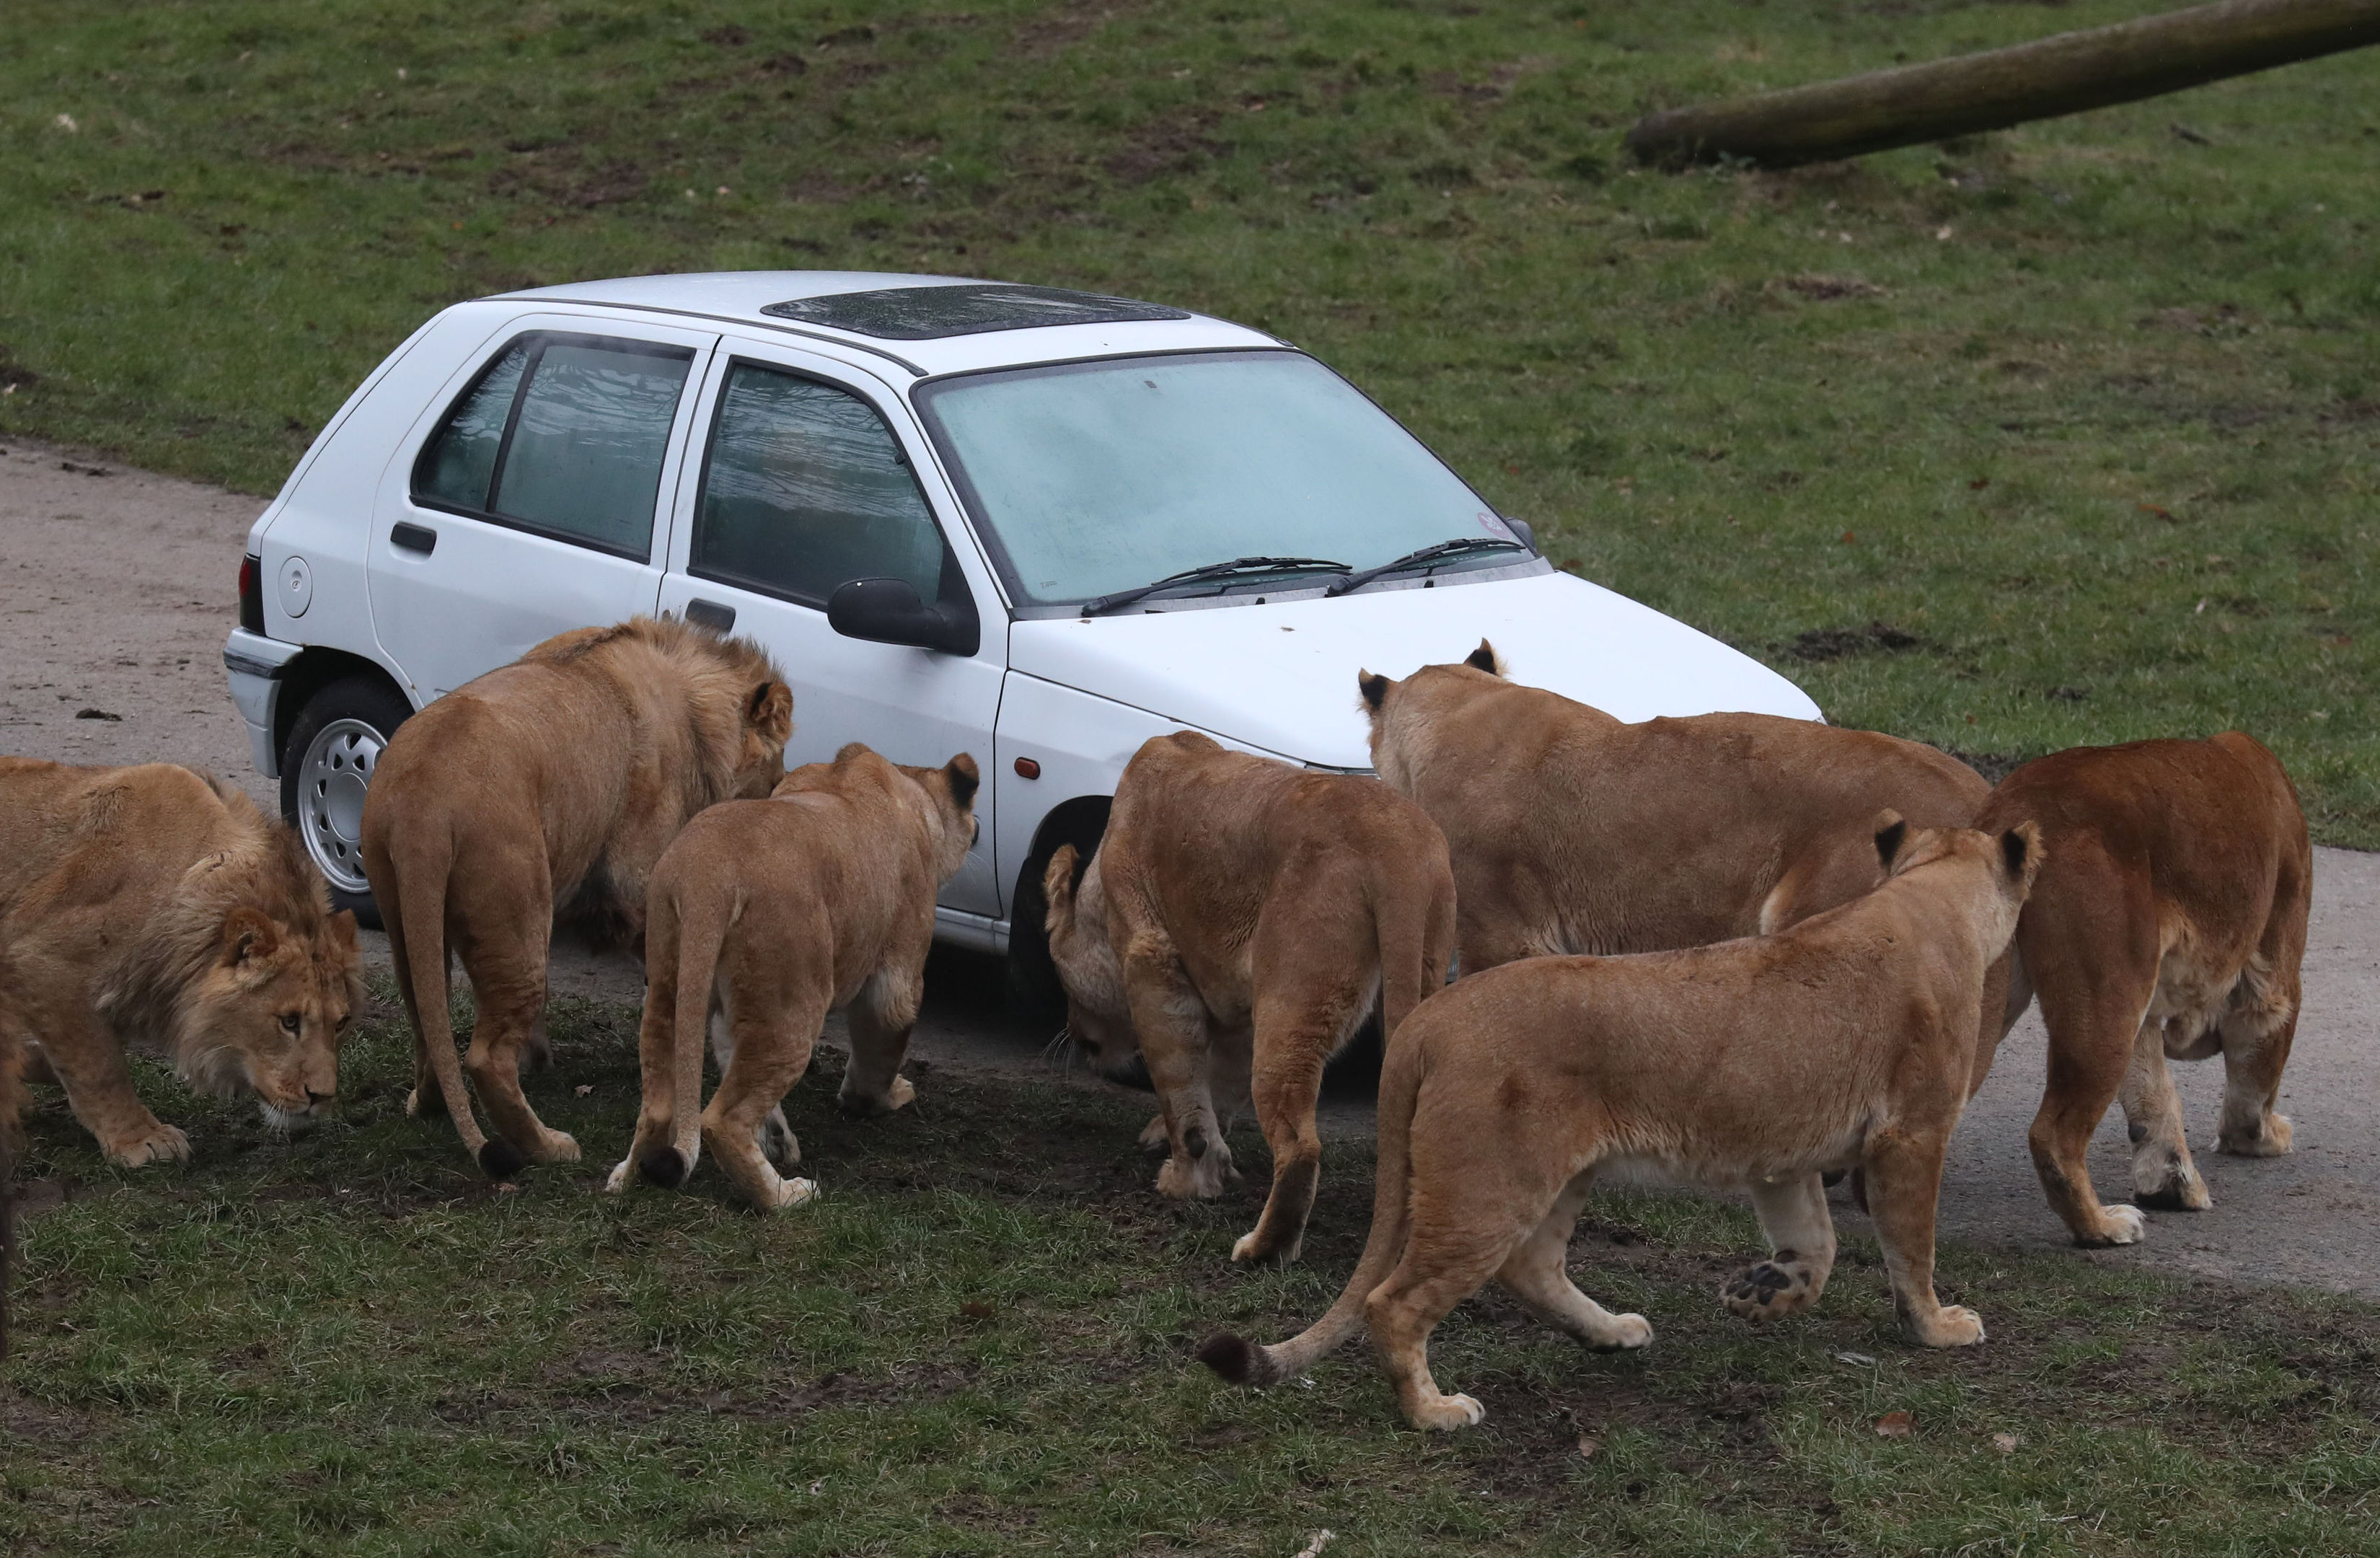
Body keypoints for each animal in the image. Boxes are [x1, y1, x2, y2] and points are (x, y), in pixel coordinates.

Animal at [0, 756, 361, 1170]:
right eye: (289, 1022)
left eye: (341, 1023)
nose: (322, 1098)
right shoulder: (42, 957)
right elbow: (100, 1066)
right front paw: (139, 1139)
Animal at [361, 613, 790, 1175]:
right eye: (776, 775)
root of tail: (422, 808)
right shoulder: (639, 894)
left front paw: (539, 1055)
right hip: (519, 912)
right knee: (485, 1057)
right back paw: (549, 1146)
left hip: (412, 920)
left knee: (425, 1021)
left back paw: (428, 1104)